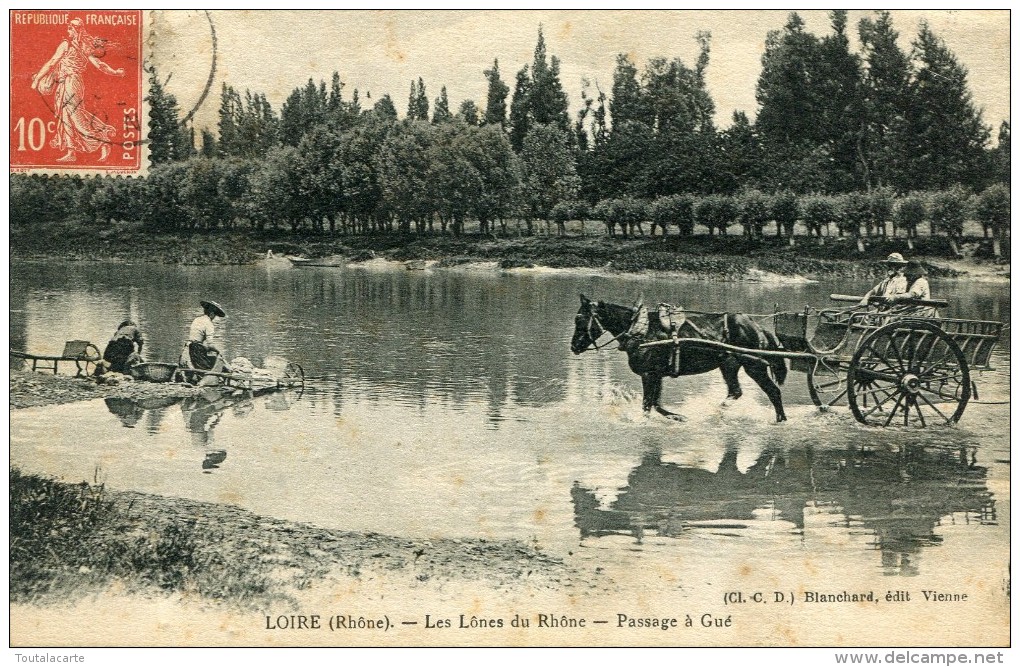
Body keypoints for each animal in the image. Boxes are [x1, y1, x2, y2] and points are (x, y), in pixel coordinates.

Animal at [575, 295, 787, 424]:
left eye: (580, 319)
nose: (573, 347)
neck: (641, 330)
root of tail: (758, 327)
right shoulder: (656, 375)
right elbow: (656, 404)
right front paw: (677, 417)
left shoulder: (648, 375)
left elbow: (647, 405)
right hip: (729, 365)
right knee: (736, 392)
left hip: (754, 365)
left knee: (773, 392)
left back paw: (780, 419)